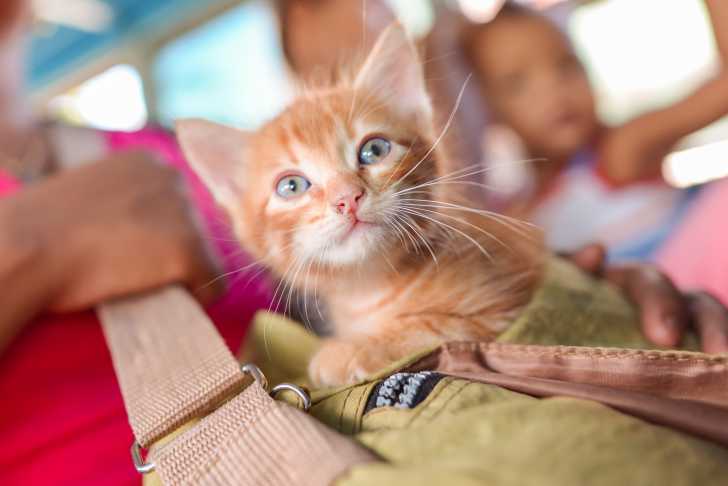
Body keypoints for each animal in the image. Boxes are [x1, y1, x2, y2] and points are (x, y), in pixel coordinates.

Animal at [175, 23, 540, 388]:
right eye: (291, 186)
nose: (347, 198)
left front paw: (351, 350)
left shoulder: (505, 303)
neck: (369, 291)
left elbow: (440, 326)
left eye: (374, 150)